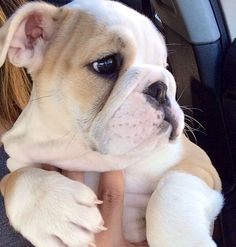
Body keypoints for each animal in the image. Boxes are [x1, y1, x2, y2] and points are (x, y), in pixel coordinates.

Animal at [0, 0, 223, 247]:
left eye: (164, 65)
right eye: (106, 64)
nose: (161, 86)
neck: (86, 155)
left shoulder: (196, 161)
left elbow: (170, 191)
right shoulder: (18, 160)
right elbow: (16, 180)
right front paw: (56, 209)